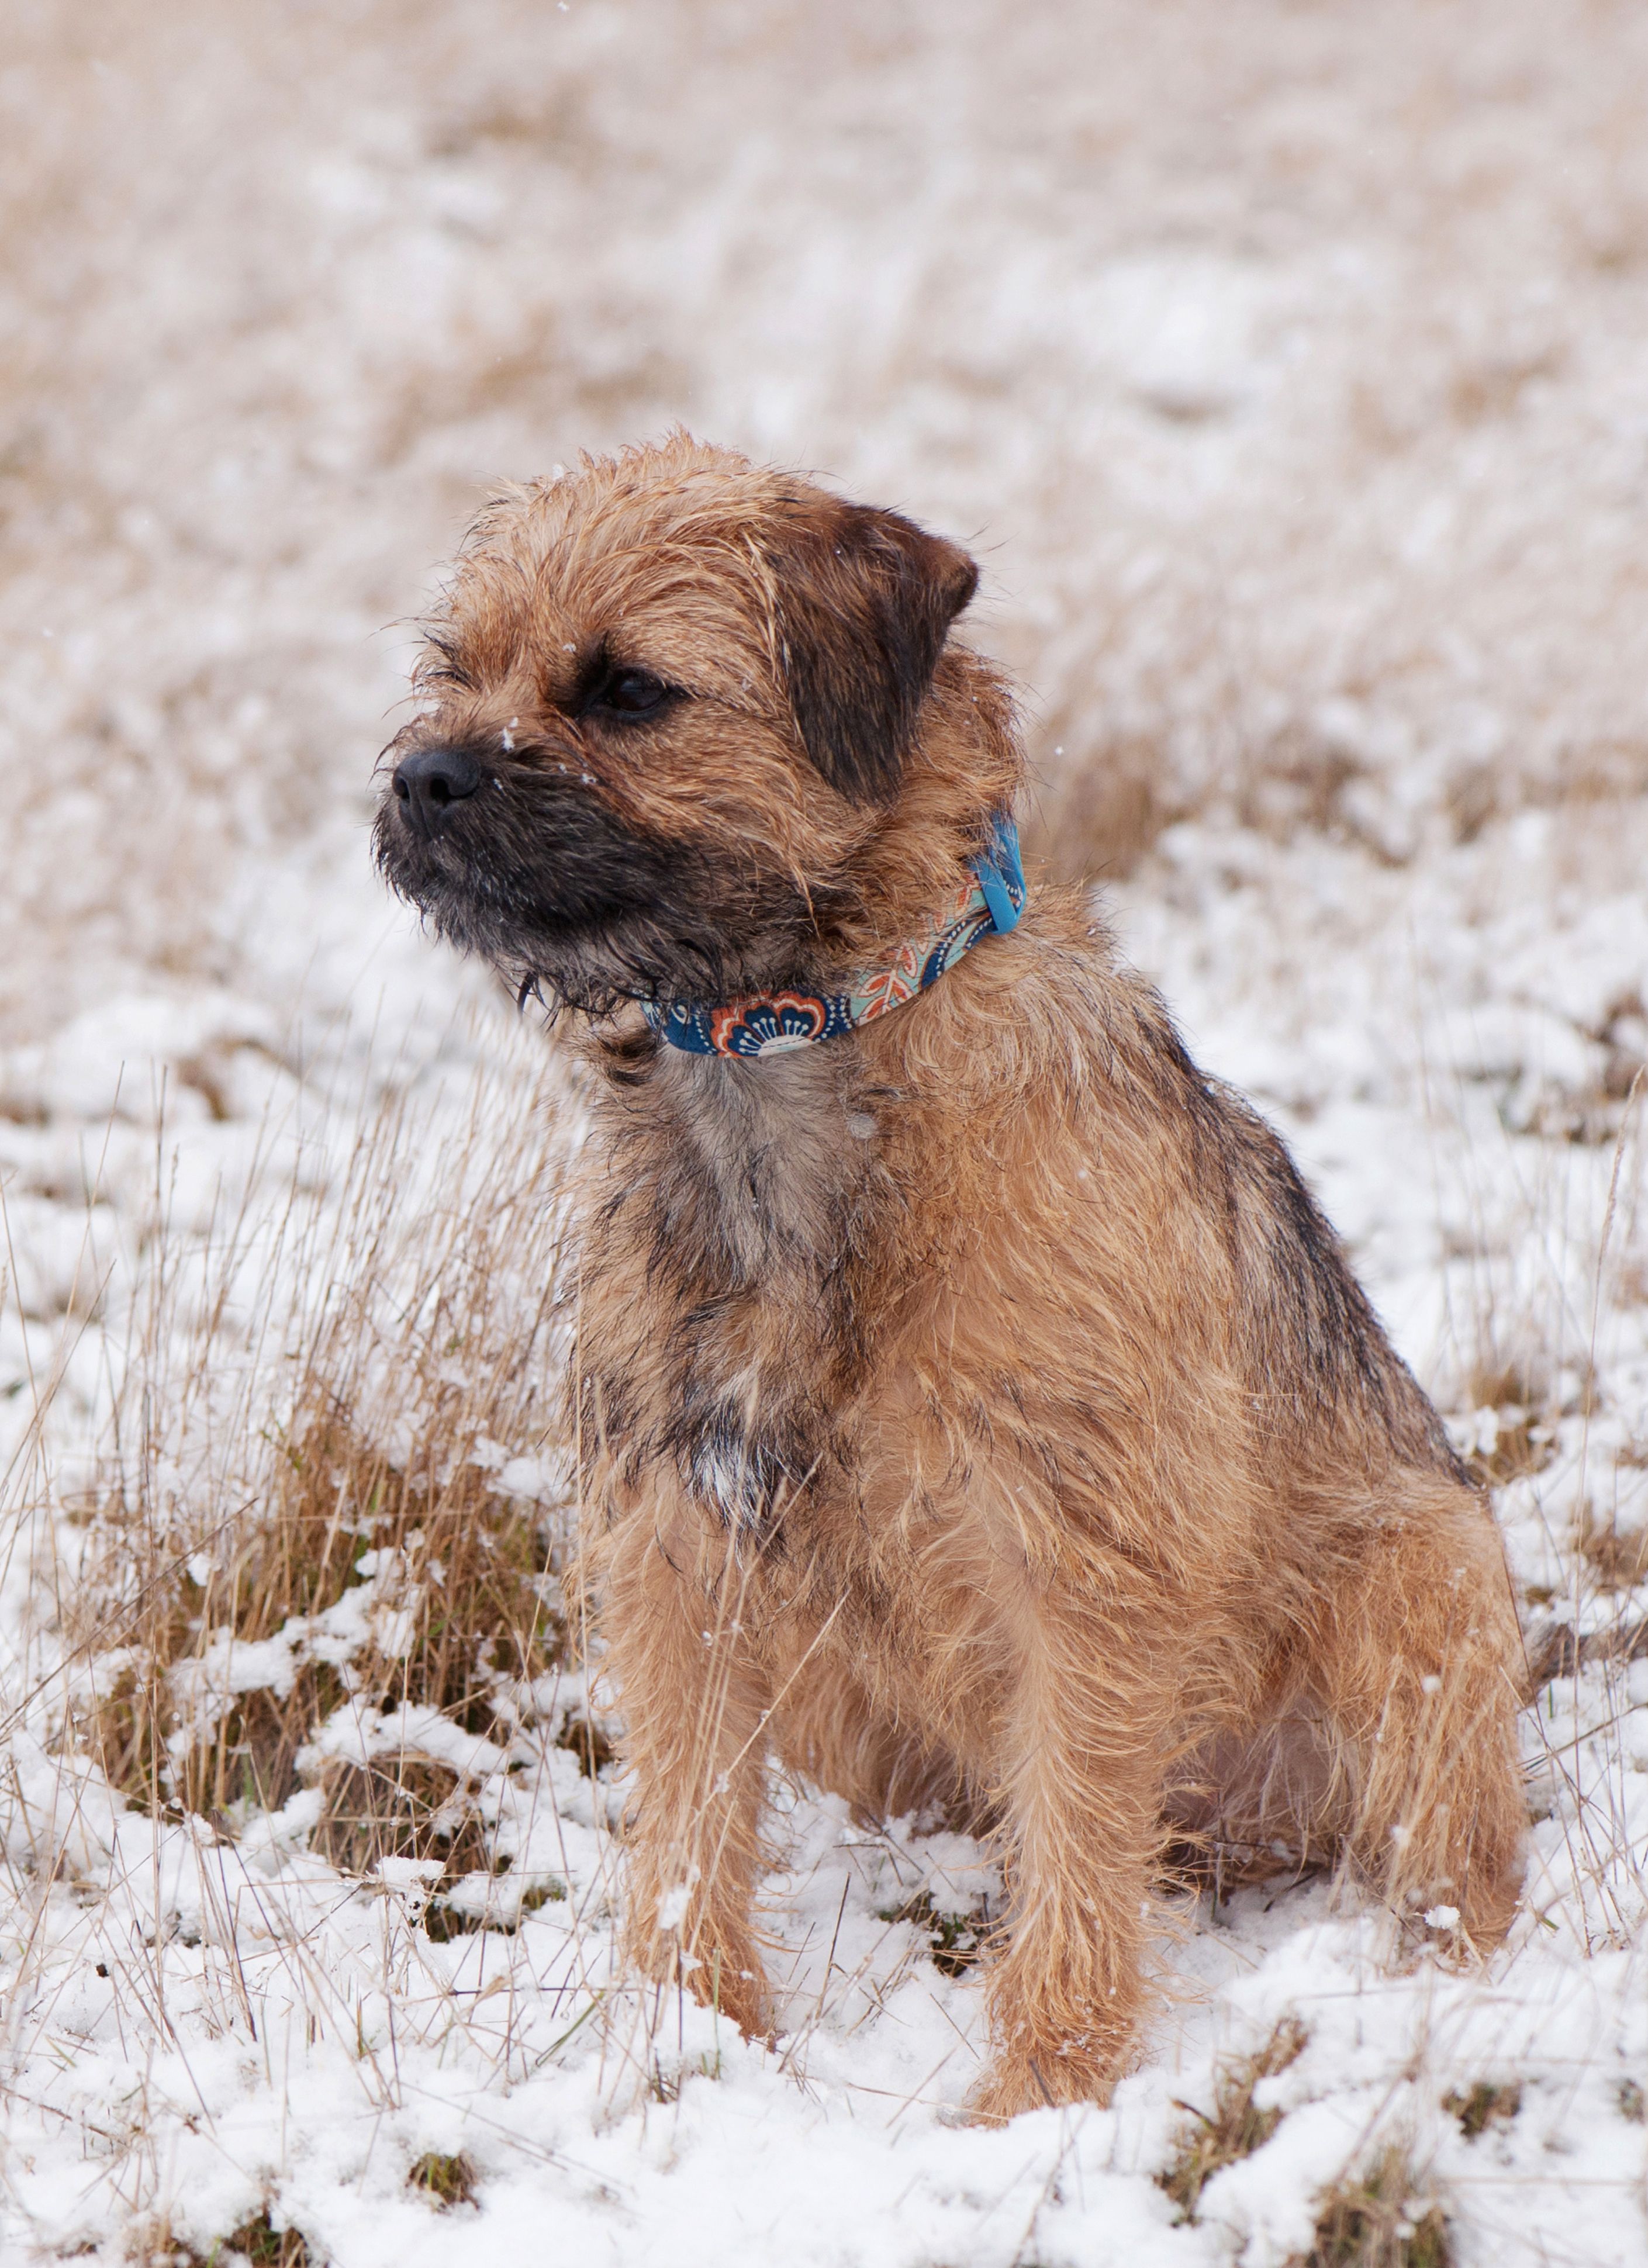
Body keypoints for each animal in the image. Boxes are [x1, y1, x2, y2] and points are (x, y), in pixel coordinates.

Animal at [374, 433, 1523, 2114]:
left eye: (628, 691)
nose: (421, 776)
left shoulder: (1080, 1548)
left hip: (1426, 1574)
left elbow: (1079, 1834)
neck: (794, 1047)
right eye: (454, 669)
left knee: (1449, 1856)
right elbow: (687, 1815)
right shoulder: (676, 1524)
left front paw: (1044, 2088)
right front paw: (681, 2029)